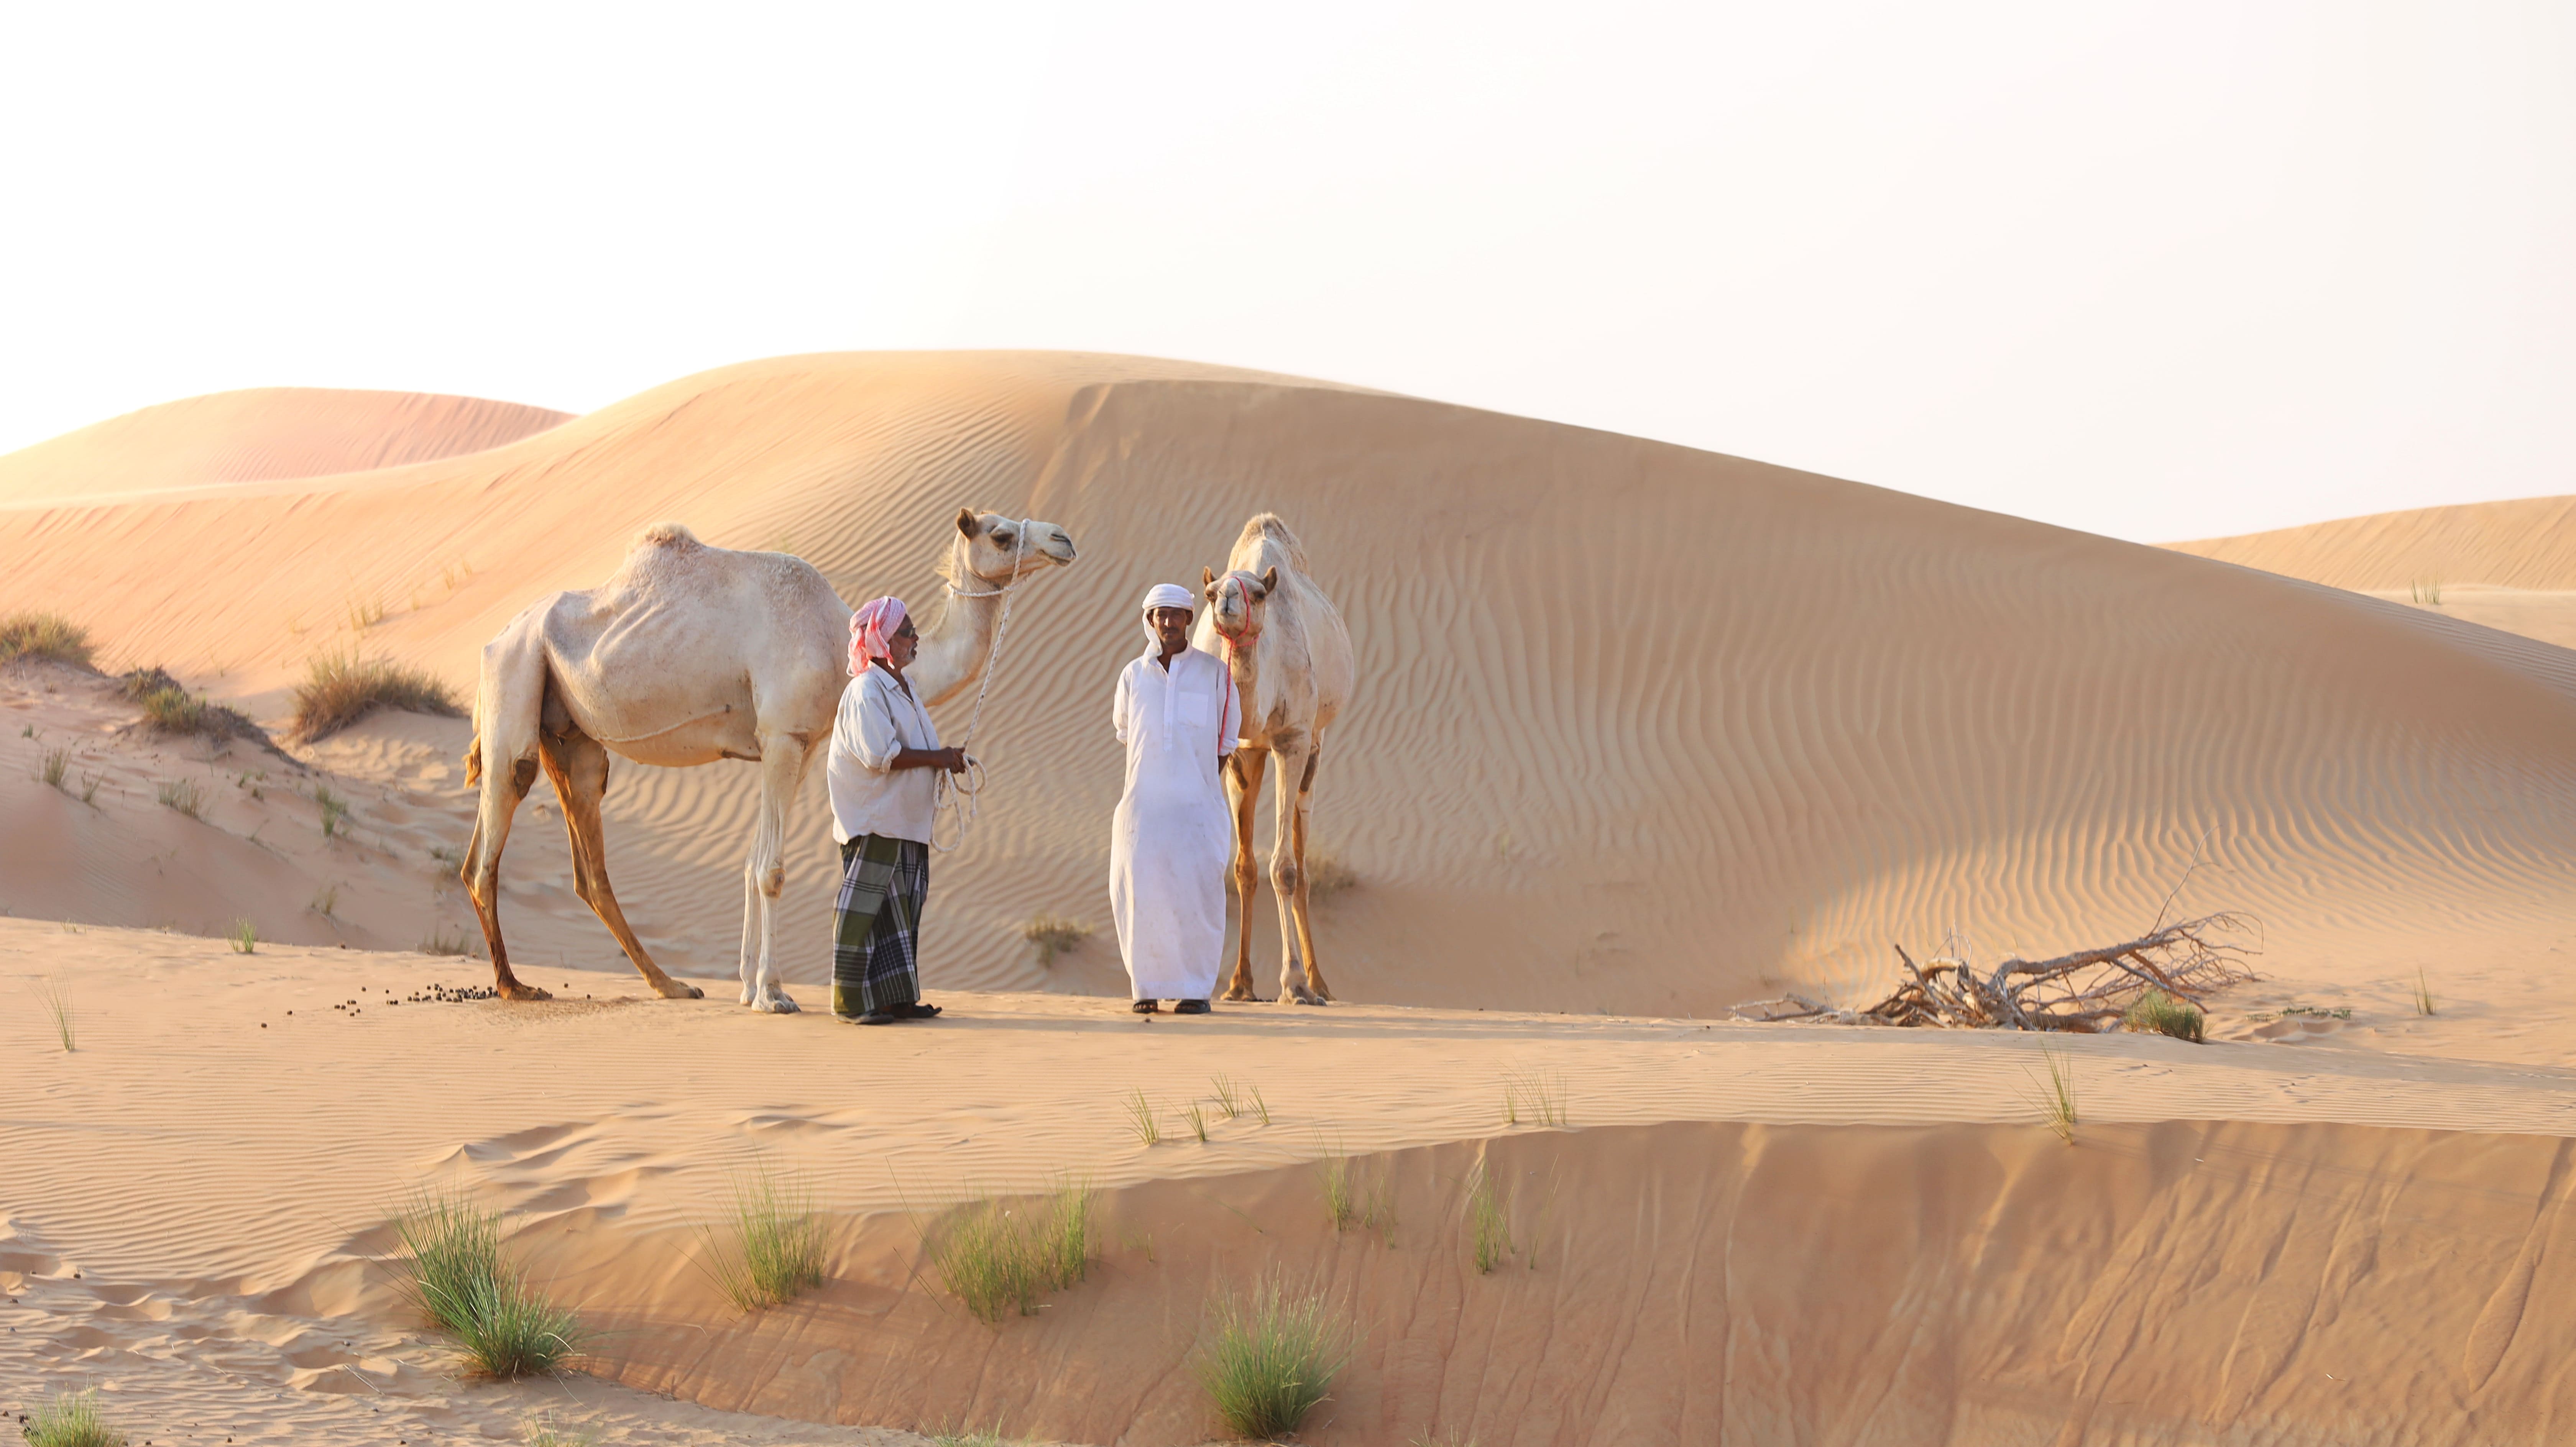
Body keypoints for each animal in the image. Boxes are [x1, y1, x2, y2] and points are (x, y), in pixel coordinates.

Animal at [461, 508, 1078, 1010]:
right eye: (1000, 534)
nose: (1064, 539)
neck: (838, 644)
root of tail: (495, 638)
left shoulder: (796, 745)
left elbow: (753, 862)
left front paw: (746, 986)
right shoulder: (783, 735)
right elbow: (774, 872)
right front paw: (774, 994)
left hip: (571, 733)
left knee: (588, 862)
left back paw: (670, 985)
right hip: (515, 674)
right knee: (490, 838)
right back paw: (515, 986)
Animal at [1196, 513, 1355, 1005]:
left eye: (1261, 594)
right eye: (1210, 594)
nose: (1228, 599)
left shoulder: (1292, 739)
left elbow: (1283, 869)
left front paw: (1294, 984)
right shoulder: (1237, 750)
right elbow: (1241, 867)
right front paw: (1234, 984)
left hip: (1315, 747)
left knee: (1301, 862)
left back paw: (1319, 983)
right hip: (1255, 755)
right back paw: (1244, 984)